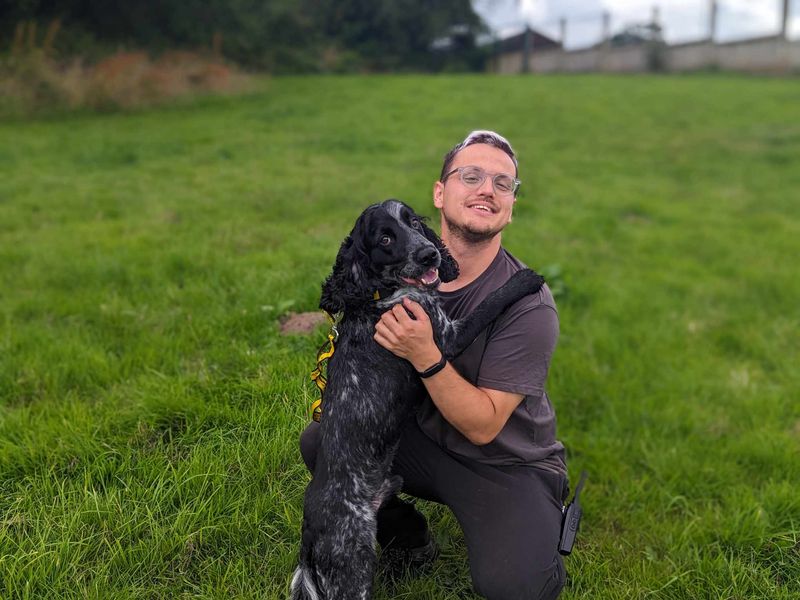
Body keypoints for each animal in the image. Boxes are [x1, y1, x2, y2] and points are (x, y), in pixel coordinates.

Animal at [290, 199, 548, 596]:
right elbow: (491, 302)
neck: (381, 294)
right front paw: (524, 280)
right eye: (384, 238)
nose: (429, 254)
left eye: (413, 223)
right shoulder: (447, 335)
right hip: (351, 568)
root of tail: (309, 535)